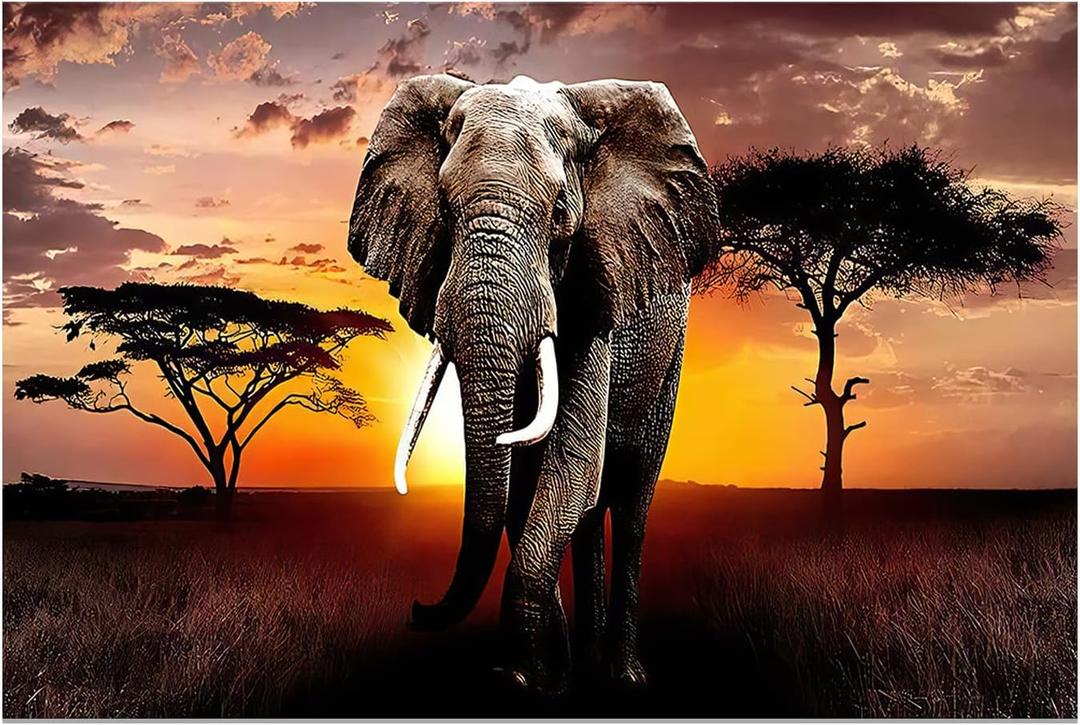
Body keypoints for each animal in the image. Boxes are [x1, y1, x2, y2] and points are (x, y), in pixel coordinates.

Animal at [347, 74, 720, 694]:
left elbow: (570, 463)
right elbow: (527, 481)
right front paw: (540, 676)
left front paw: (520, 678)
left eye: (560, 216)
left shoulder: (593, 294)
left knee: (630, 494)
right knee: (591, 512)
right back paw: (588, 663)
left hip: (669, 356)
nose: (417, 610)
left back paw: (624, 677)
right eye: (443, 210)